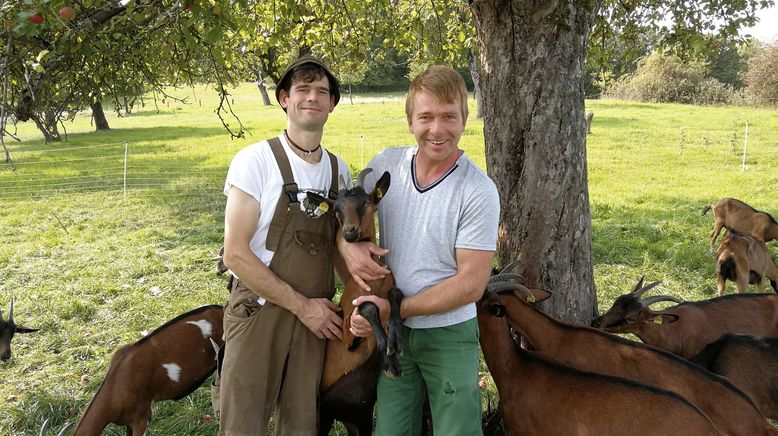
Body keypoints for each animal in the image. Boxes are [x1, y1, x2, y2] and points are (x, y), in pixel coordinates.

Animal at [314, 169, 404, 436]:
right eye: (337, 209)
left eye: (365, 202)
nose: (350, 233)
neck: (371, 282)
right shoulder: (346, 329)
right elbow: (368, 306)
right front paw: (390, 360)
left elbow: (396, 294)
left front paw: (395, 340)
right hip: (323, 415)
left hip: (358, 418)